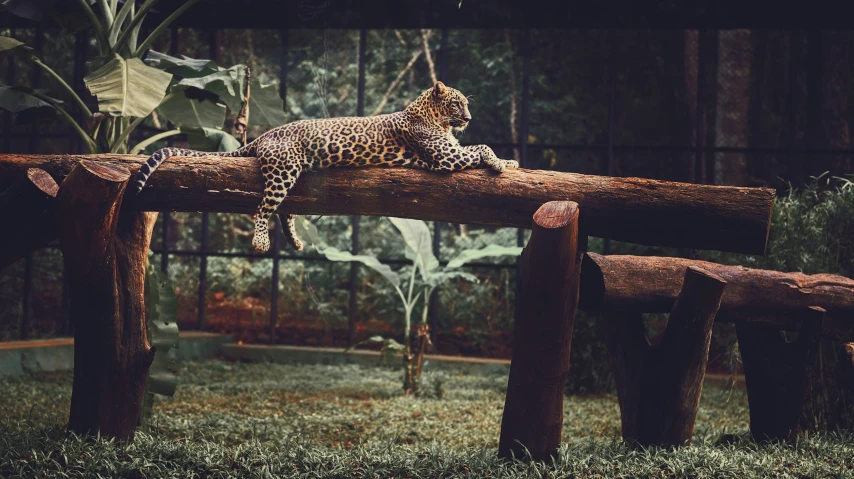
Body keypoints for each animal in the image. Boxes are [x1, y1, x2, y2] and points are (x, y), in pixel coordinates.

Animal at [132, 81, 520, 255]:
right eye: (457, 104)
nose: (469, 118)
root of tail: (265, 134)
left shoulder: (453, 149)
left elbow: (481, 147)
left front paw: (510, 161)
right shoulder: (445, 157)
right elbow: (481, 147)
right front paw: (498, 162)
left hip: (292, 176)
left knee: (284, 209)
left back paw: (295, 240)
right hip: (284, 168)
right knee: (263, 207)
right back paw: (260, 240)